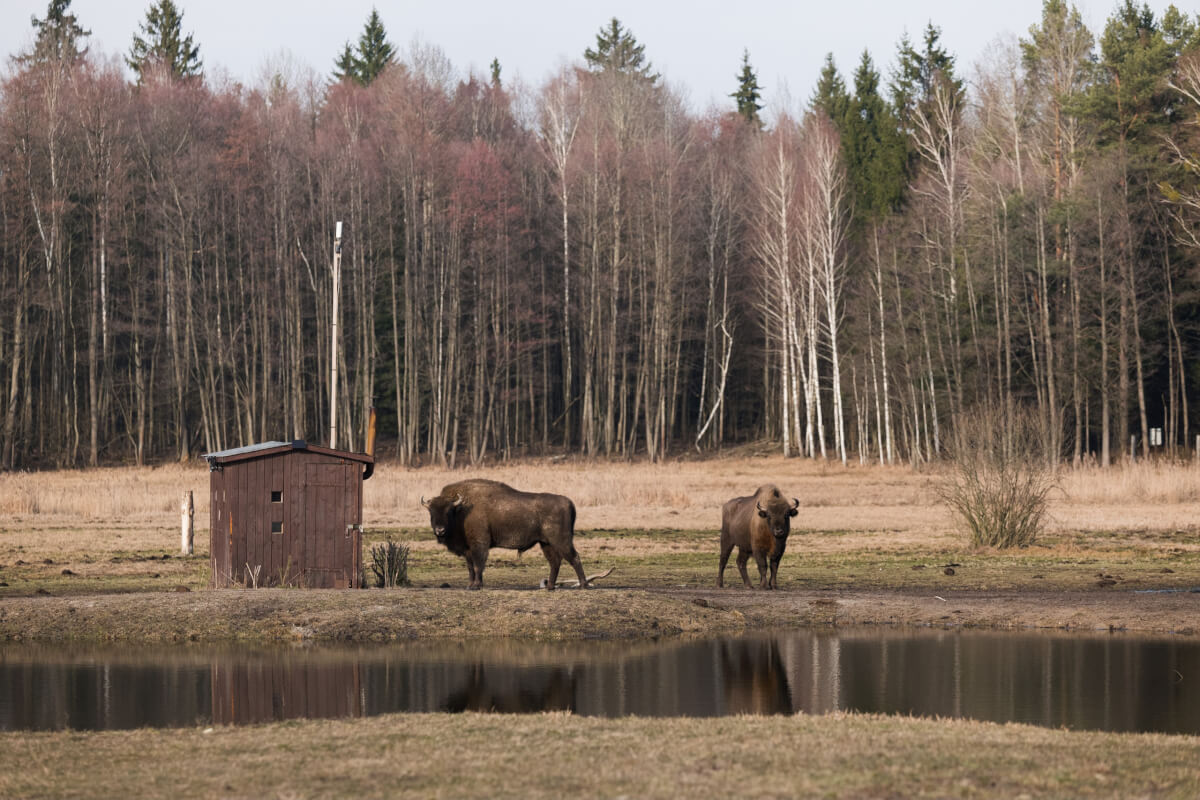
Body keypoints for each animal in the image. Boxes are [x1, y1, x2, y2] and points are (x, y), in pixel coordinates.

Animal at [422, 479, 590, 592]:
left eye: (448, 511)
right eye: (431, 512)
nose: (440, 530)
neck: (462, 510)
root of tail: (569, 502)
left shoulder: (479, 545)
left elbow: (478, 565)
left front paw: (476, 586)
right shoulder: (468, 549)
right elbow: (471, 568)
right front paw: (471, 585)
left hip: (562, 541)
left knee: (574, 557)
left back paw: (583, 585)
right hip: (546, 543)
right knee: (555, 562)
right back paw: (550, 587)